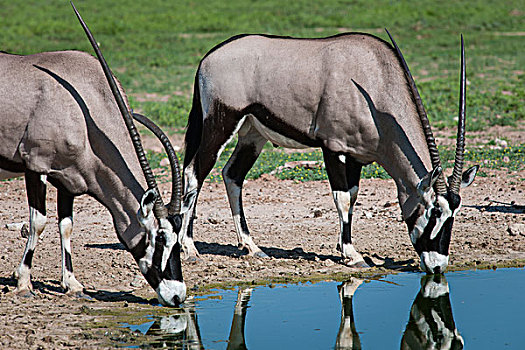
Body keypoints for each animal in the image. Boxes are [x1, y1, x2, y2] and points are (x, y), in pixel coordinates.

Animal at [0, 4, 186, 306]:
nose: (178, 296)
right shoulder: (36, 167)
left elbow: (66, 225)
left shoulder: (66, 180)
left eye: (179, 241)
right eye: (159, 238)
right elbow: (38, 222)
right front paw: (23, 281)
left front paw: (72, 284)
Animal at [182, 31, 476, 274]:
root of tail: (209, 58)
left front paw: (344, 248)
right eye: (433, 212)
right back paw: (189, 248)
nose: (437, 266)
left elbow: (353, 197)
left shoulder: (357, 156)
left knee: (232, 175)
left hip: (253, 135)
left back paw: (252, 247)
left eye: (454, 215)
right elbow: (342, 198)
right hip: (221, 124)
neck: (374, 81)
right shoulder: (332, 148)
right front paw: (352, 255)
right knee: (194, 173)